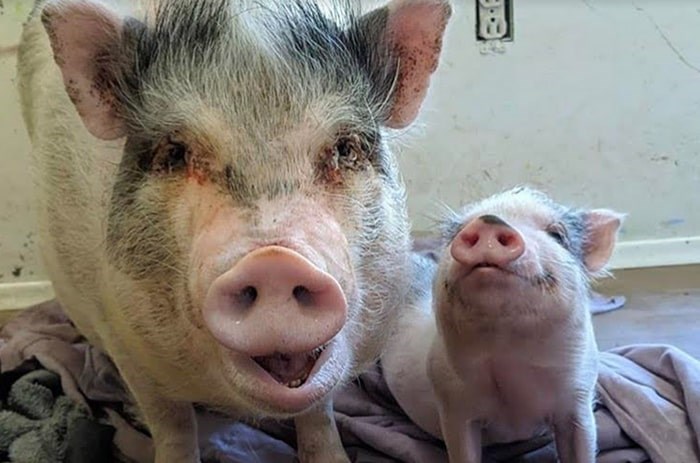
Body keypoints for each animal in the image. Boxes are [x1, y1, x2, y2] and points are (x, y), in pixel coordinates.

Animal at [16, 0, 454, 460]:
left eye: (345, 148)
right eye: (175, 153)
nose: (275, 262)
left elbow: (319, 410)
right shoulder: (125, 343)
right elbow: (171, 422)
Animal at [382, 188, 624, 463]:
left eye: (557, 234)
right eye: (457, 232)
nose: (489, 221)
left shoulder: (578, 396)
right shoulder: (452, 402)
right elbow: (463, 450)